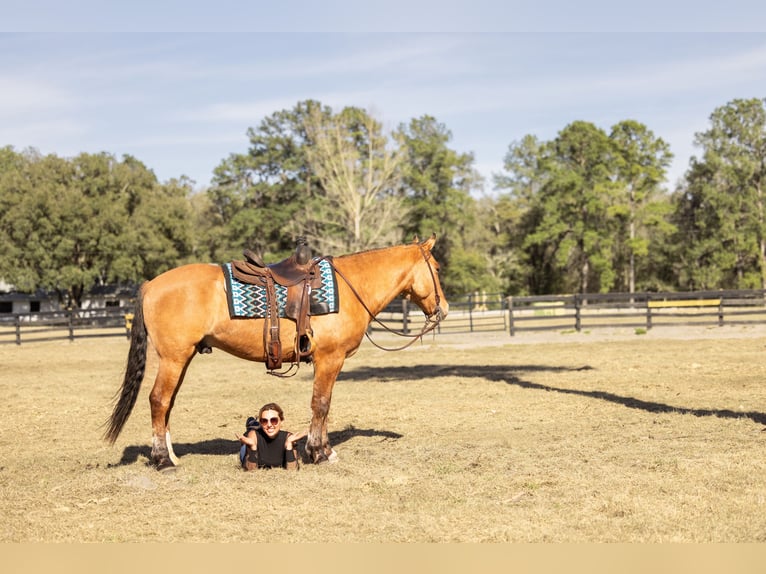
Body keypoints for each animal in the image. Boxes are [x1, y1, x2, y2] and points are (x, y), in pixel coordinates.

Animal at [104, 235, 448, 470]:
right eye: (436, 267)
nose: (443, 309)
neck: (351, 288)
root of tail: (150, 284)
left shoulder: (326, 362)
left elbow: (324, 405)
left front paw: (322, 449)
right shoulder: (330, 359)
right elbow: (320, 404)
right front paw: (319, 453)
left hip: (181, 358)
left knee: (167, 403)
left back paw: (172, 455)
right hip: (173, 358)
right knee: (158, 400)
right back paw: (162, 460)